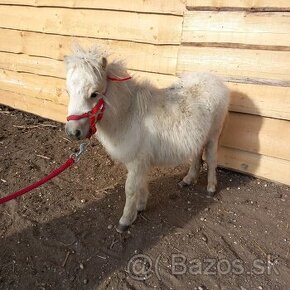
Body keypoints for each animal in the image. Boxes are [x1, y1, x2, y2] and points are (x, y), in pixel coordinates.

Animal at [64, 47, 230, 233]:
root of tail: (215, 80)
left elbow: (130, 189)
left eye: (94, 94)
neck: (128, 114)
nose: (73, 132)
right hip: (199, 136)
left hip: (213, 135)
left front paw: (125, 220)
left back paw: (211, 188)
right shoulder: (140, 162)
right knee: (196, 154)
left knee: (212, 160)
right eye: (68, 92)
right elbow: (141, 184)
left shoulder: (137, 161)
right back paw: (188, 180)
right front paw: (140, 206)